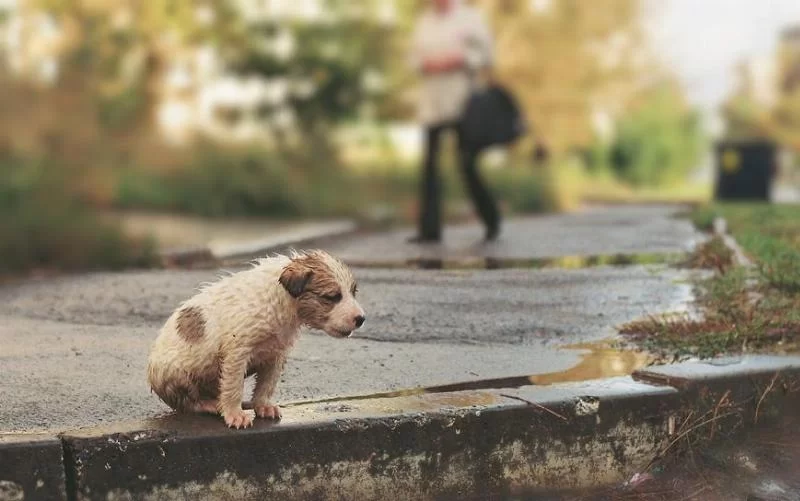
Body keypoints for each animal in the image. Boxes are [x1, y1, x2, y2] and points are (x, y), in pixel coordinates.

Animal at [147, 249, 366, 426]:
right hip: (176, 373)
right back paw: (210, 404)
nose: (361, 319)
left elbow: (266, 385)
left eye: (353, 292)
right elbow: (233, 386)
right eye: (332, 297)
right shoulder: (237, 352)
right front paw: (234, 414)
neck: (281, 299)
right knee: (187, 402)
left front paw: (263, 405)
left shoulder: (276, 354)